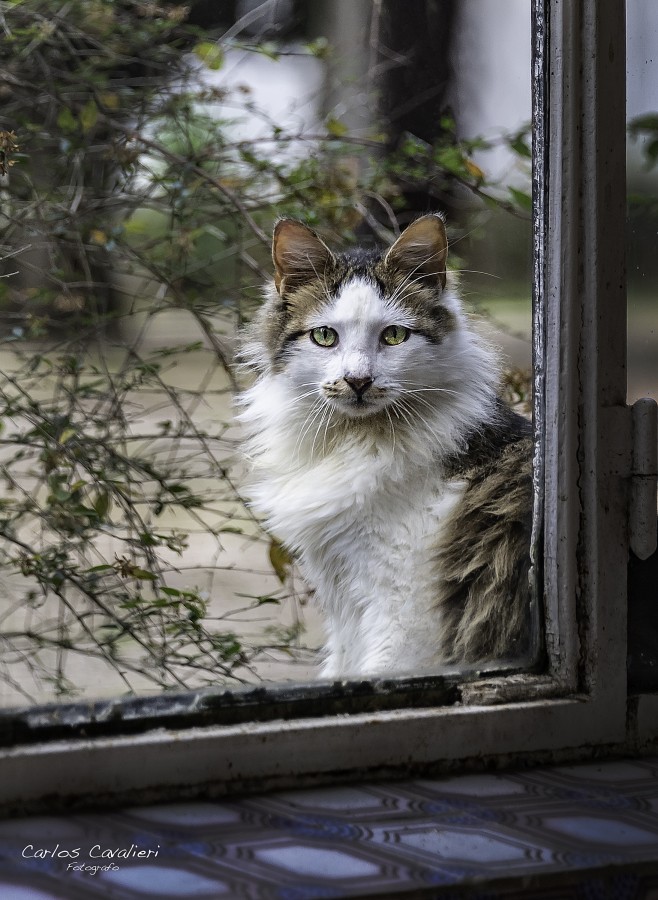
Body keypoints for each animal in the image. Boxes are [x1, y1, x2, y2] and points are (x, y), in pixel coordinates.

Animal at [238, 214, 532, 680]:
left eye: (394, 336)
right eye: (325, 337)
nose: (358, 381)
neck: (355, 442)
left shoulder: (401, 613)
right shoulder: (344, 603)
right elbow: (341, 668)